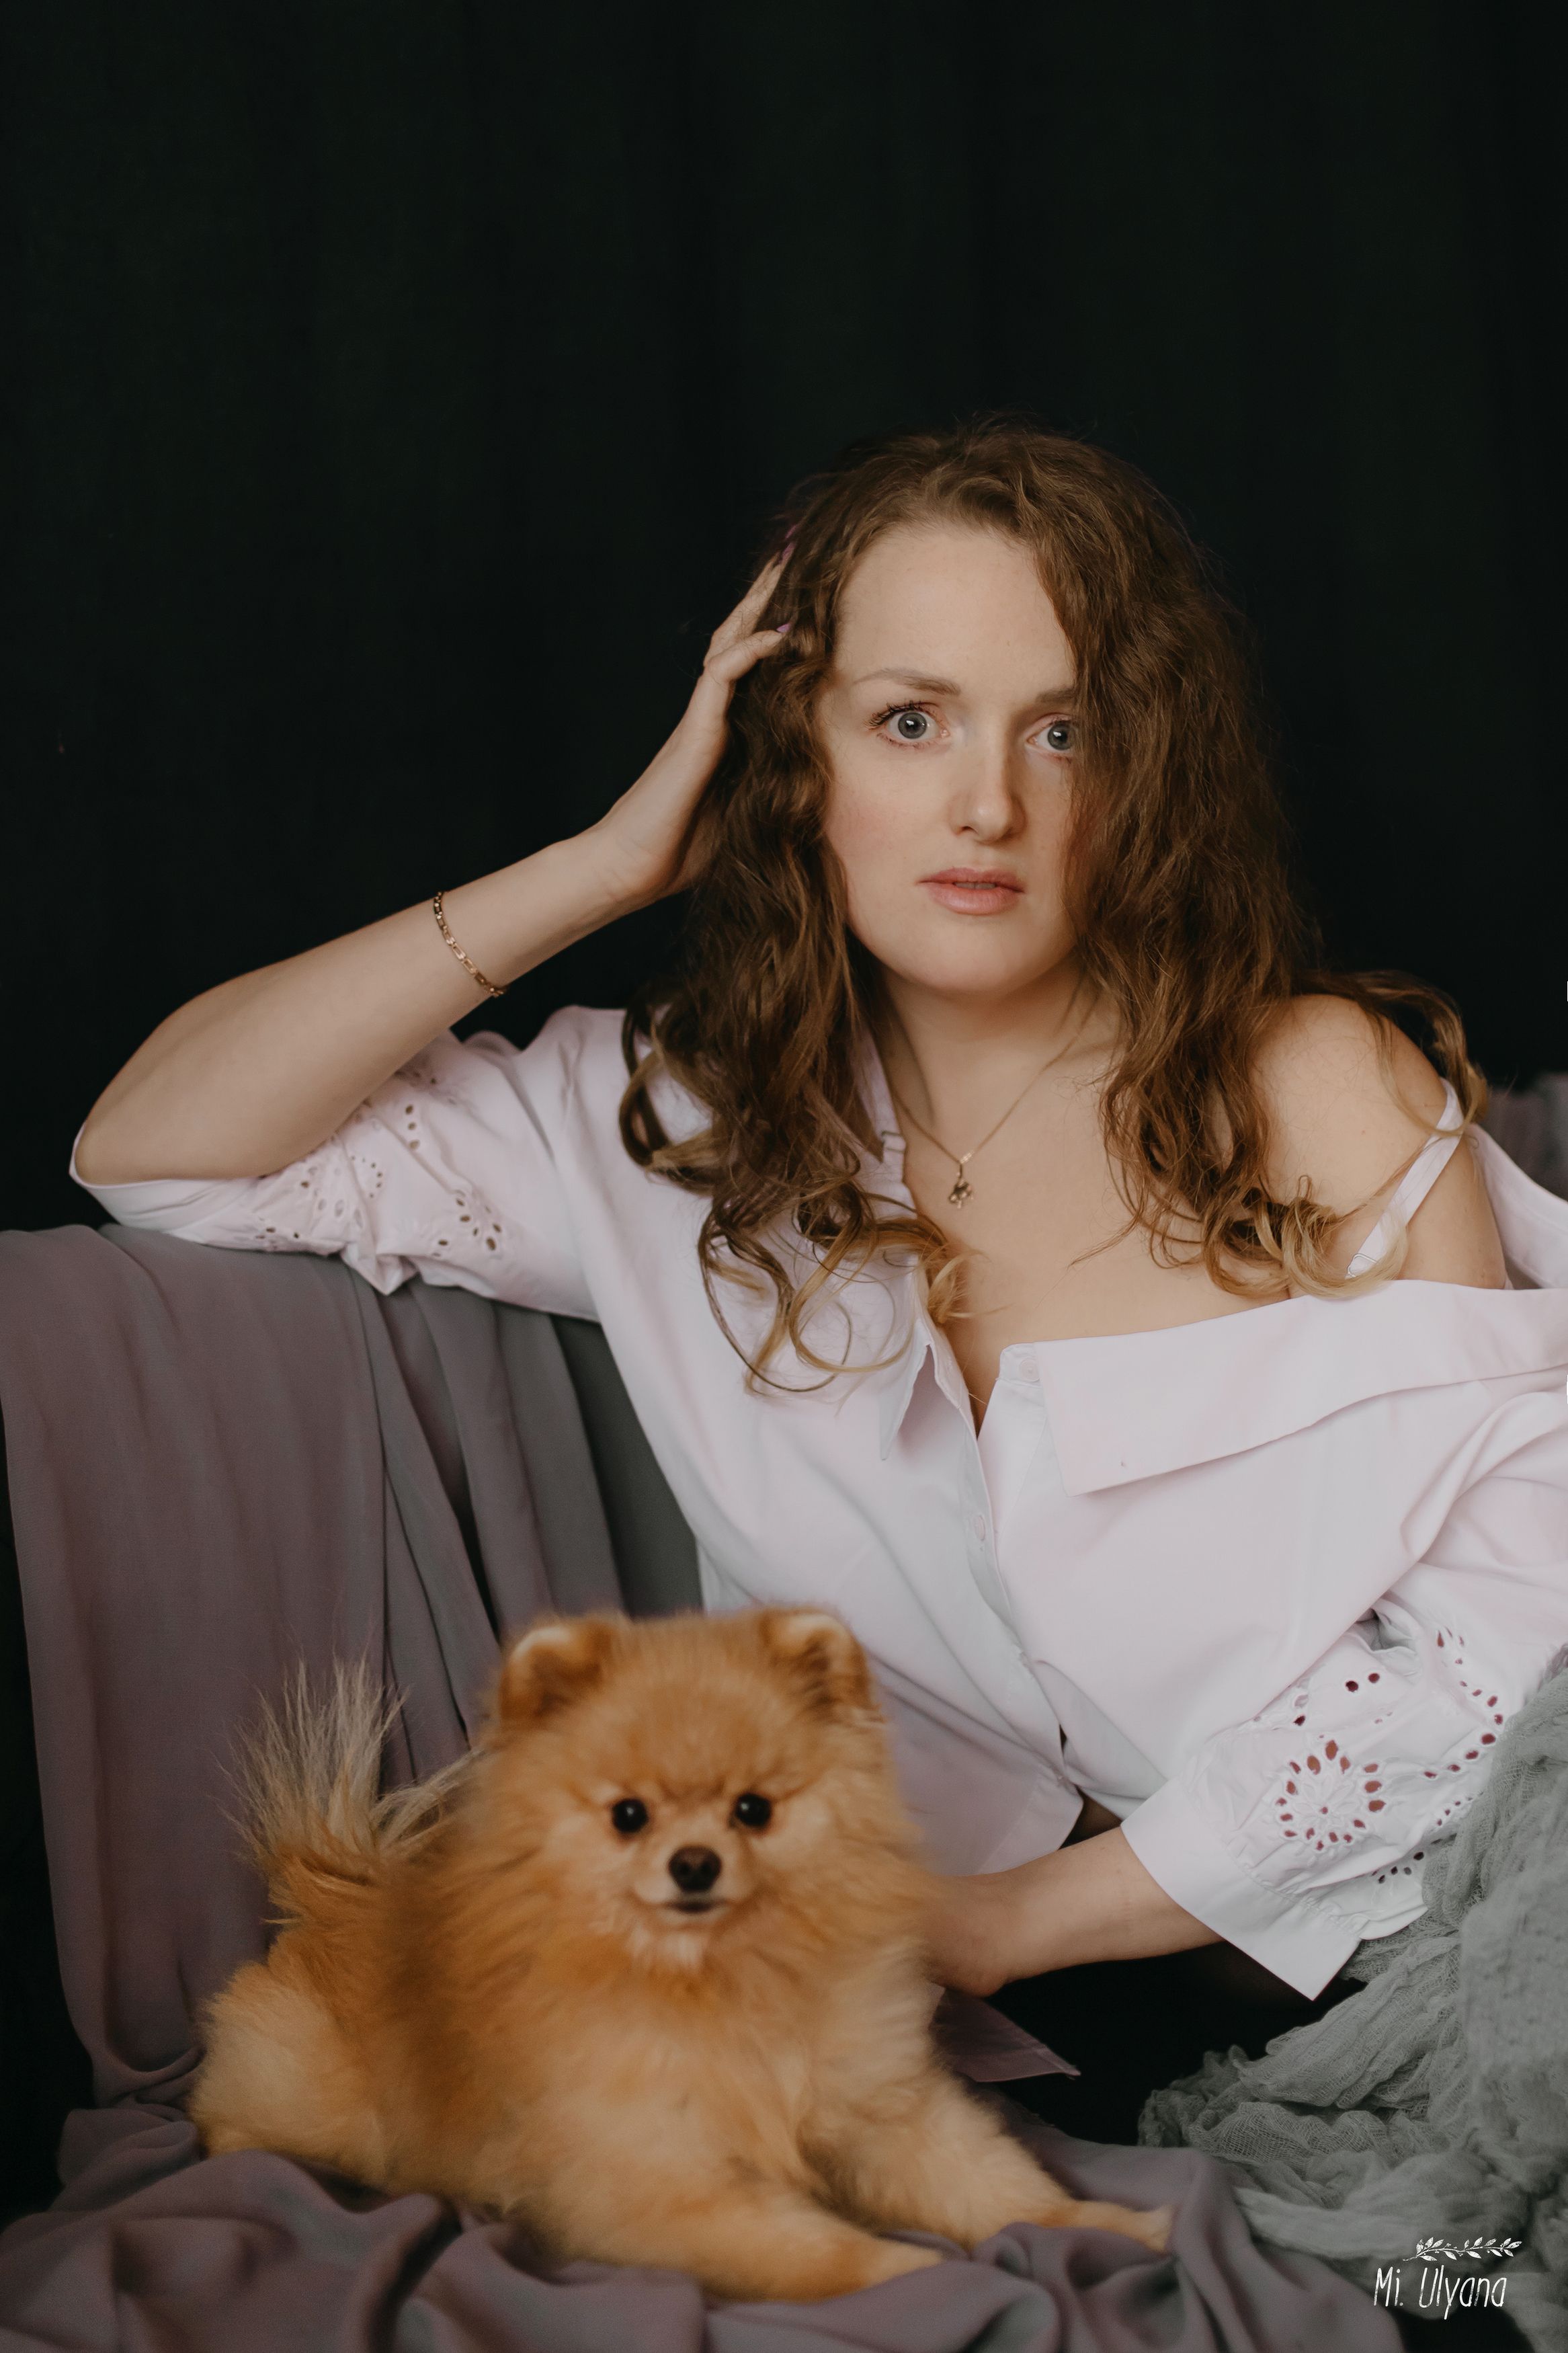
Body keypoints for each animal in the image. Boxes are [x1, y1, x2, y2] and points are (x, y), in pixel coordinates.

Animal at [191, 1607, 1171, 2301]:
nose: (693, 1862)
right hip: (315, 2094)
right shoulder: (663, 2178)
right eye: (629, 1815)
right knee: (234, 2110)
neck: (719, 1978)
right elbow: (810, 2246)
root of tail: (341, 1889)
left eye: (753, 1809)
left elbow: (997, 2187)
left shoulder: (887, 2111)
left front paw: (1109, 2225)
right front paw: (917, 2272)